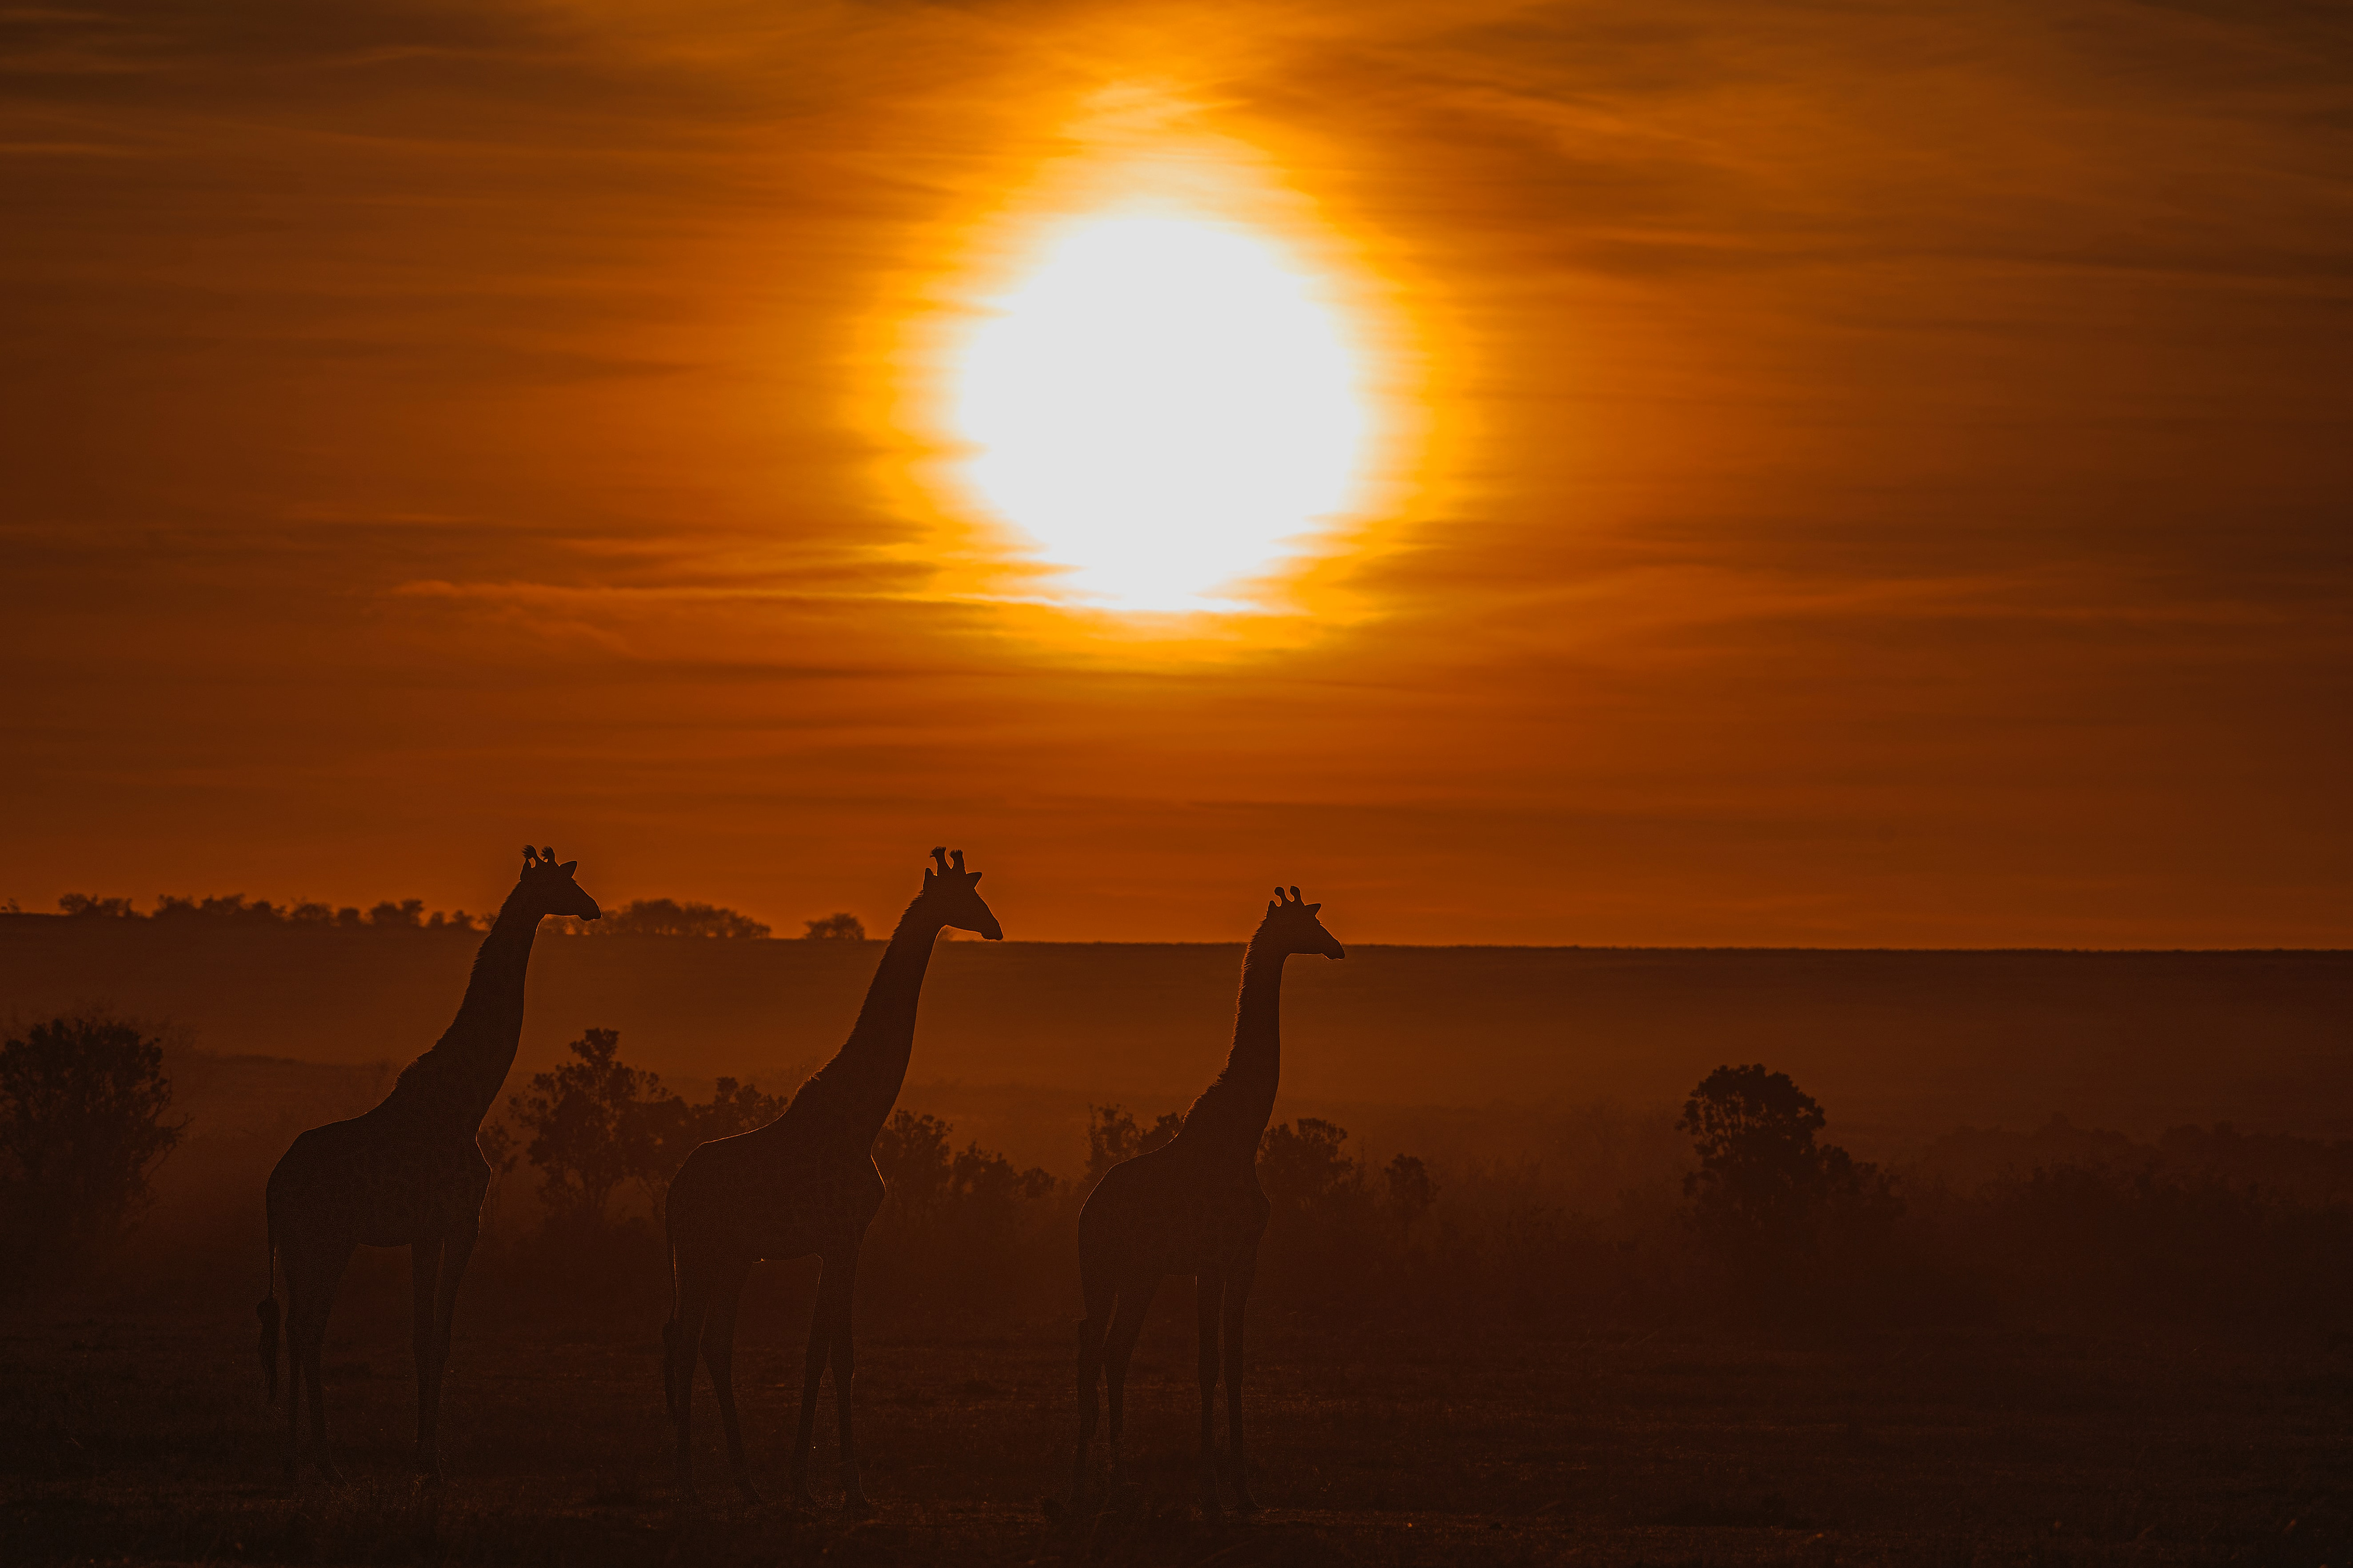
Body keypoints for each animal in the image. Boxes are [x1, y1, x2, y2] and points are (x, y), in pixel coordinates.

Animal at [256, 845, 601, 1483]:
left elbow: (425, 1335)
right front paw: (429, 1456)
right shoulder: (457, 1224)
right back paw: (323, 1458)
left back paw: (296, 1456)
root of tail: (273, 1184)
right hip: (329, 1239)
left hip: (295, 1243)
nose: (592, 908)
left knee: (295, 1327)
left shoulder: (430, 1231)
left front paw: (422, 1451)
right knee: (308, 1326)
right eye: (561, 884)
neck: (467, 1103)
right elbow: (435, 1337)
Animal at [662, 846, 1001, 1506]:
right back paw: (688, 1481)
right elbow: (835, 1352)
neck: (861, 1117)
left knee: (710, 1342)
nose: (995, 927)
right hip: (699, 1253)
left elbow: (824, 1349)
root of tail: (673, 1192)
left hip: (731, 1258)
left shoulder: (835, 1242)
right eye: (964, 897)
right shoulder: (845, 1237)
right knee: (688, 1343)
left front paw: (803, 1479)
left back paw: (744, 1481)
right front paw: (847, 1483)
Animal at [1070, 885, 1344, 1520]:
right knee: (1093, 1346)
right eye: (1305, 924)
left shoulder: (1240, 1262)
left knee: (1109, 1349)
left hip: (1134, 1274)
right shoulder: (1212, 1263)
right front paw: (1211, 1490)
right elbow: (1206, 1365)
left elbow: (1234, 1363)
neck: (1243, 1136)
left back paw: (1111, 1482)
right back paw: (1081, 1485)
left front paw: (1243, 1490)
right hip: (1108, 1270)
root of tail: (1086, 1212)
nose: (1337, 948)